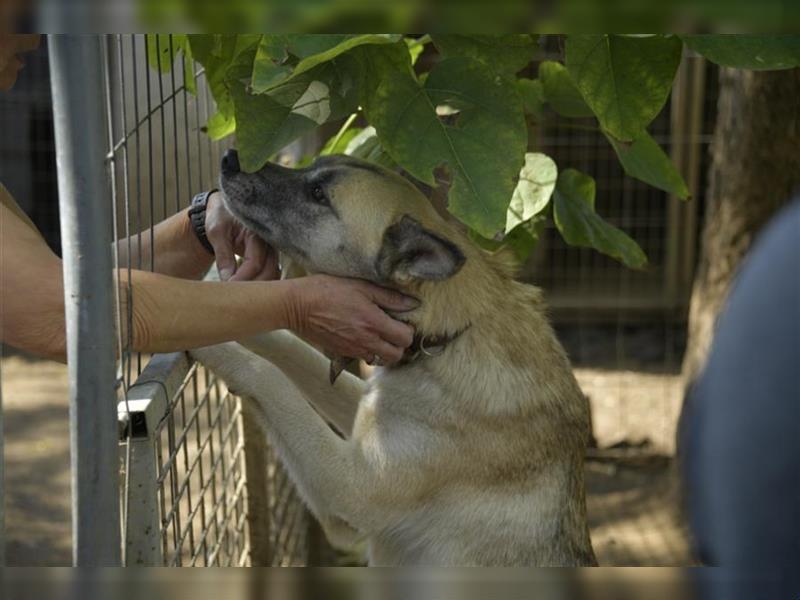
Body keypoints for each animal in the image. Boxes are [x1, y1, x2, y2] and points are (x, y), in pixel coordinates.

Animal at [191, 150, 596, 568]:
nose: (229, 157)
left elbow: (270, 378)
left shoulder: (348, 489)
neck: (446, 339)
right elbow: (285, 346)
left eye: (319, 195)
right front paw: (209, 295)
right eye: (312, 167)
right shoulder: (365, 405)